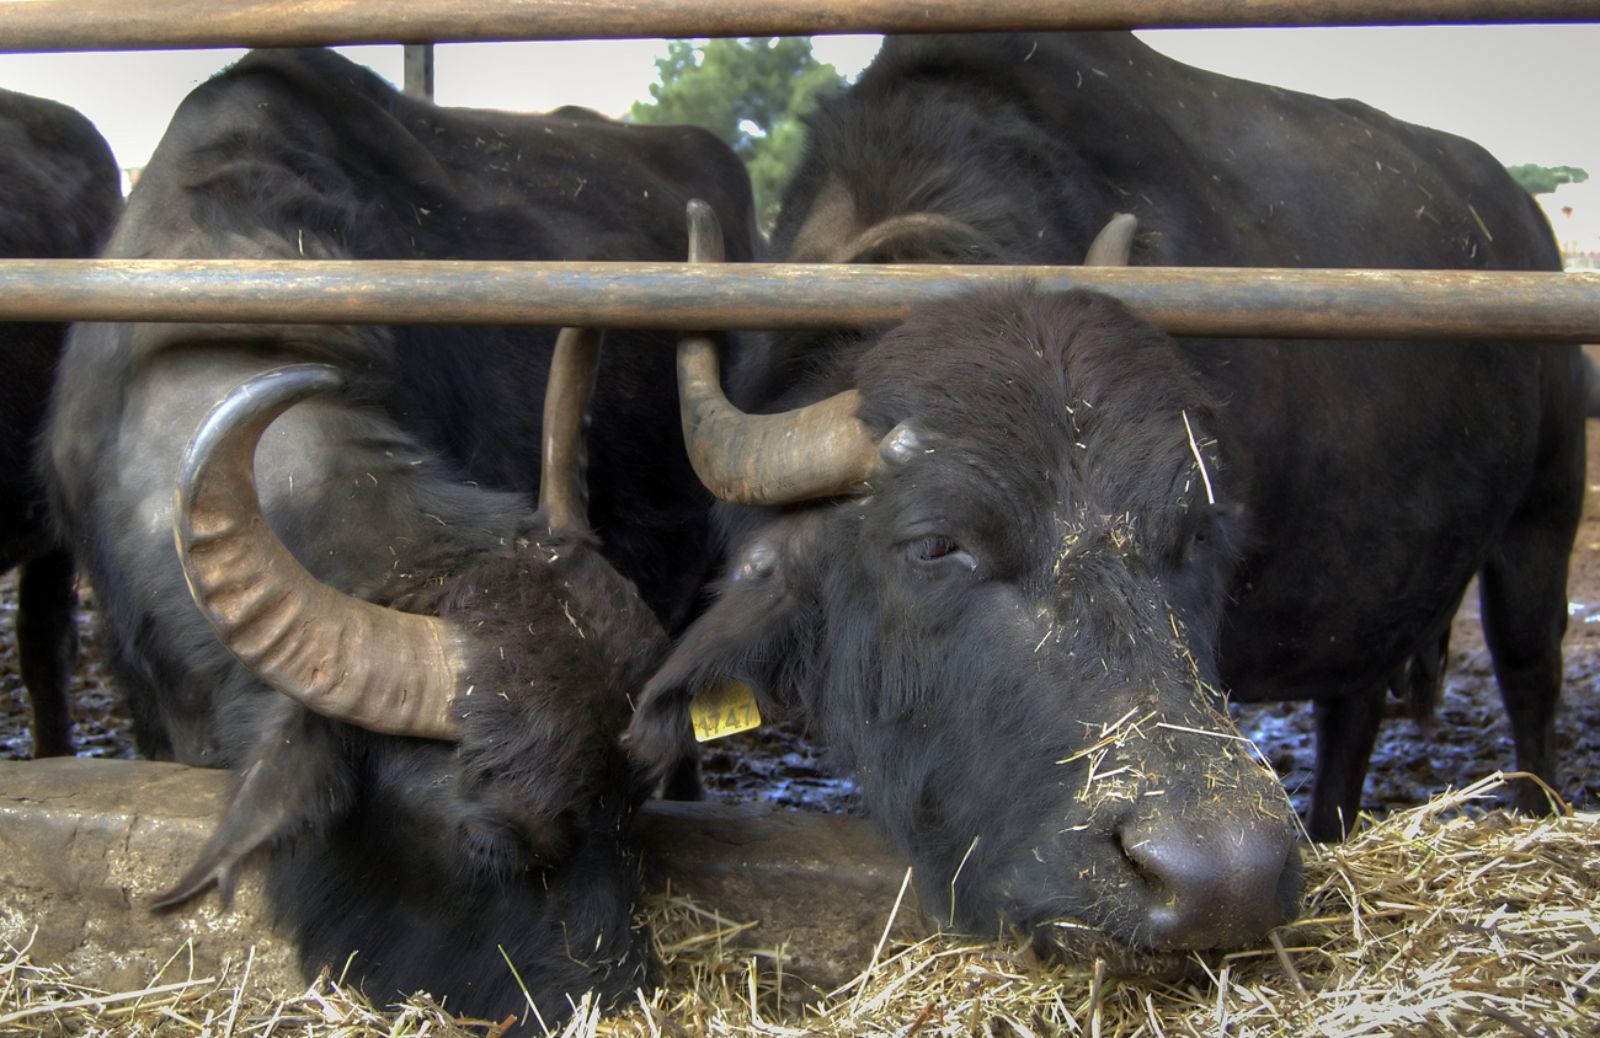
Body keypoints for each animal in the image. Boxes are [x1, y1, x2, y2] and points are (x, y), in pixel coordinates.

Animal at [624, 34, 1574, 966]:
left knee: (1529, 668)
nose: (1223, 881)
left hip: (1543, 517)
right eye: (935, 544)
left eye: (1196, 532)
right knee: (1355, 703)